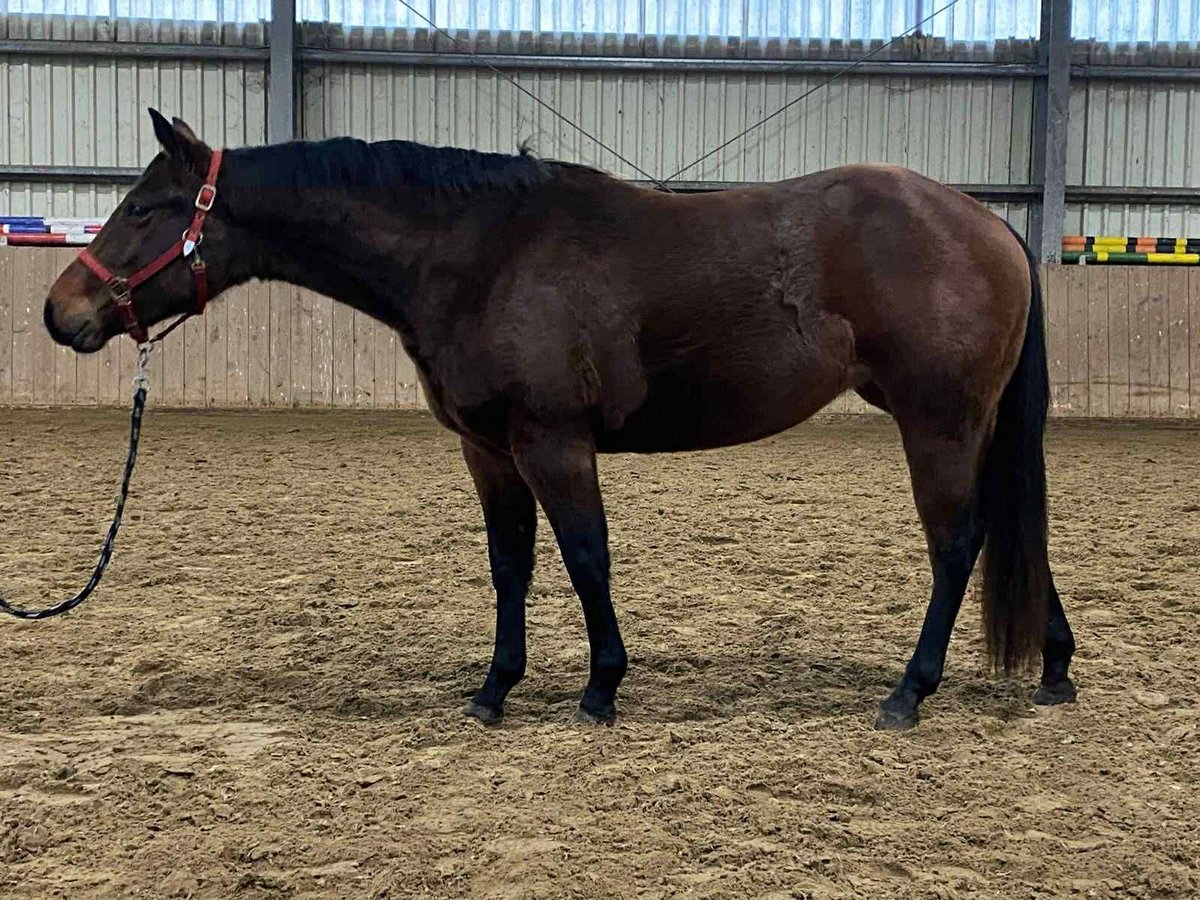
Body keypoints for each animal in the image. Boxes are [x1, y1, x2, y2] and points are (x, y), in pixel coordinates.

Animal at [44, 109, 1078, 730]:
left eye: (144, 209)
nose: (62, 314)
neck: (480, 255)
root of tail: (988, 224)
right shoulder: (489, 450)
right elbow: (512, 565)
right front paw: (495, 689)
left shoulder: (553, 441)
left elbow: (585, 558)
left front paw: (600, 686)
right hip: (971, 428)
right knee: (1010, 534)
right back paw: (1056, 668)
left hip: (937, 424)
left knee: (958, 545)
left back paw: (909, 692)